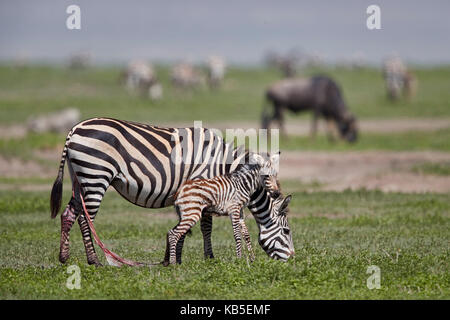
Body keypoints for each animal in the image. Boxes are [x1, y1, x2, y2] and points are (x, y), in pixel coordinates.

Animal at [50, 117, 296, 264]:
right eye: (287, 231)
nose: (293, 259)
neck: (221, 164)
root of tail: (75, 129)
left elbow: (186, 226)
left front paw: (172, 258)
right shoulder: (203, 187)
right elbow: (205, 226)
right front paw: (208, 258)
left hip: (81, 180)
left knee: (68, 213)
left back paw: (64, 257)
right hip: (95, 176)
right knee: (85, 218)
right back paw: (94, 260)